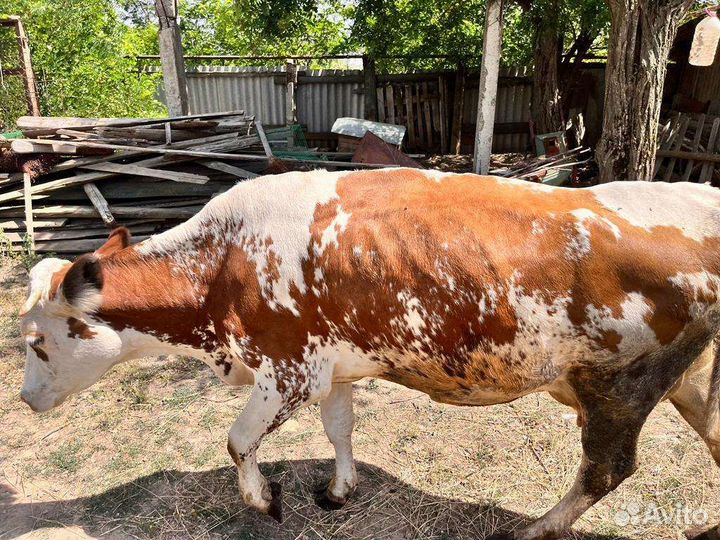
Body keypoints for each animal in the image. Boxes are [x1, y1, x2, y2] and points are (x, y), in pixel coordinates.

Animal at [18, 168, 720, 540]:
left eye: (36, 341)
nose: (24, 398)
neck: (224, 260)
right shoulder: (333, 366)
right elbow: (339, 428)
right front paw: (339, 488)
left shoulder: (288, 369)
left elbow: (238, 441)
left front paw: (264, 502)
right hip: (693, 382)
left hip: (619, 384)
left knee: (607, 469)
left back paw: (535, 527)